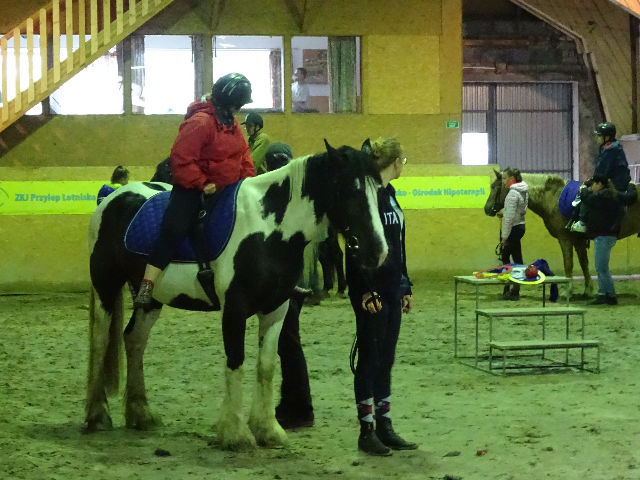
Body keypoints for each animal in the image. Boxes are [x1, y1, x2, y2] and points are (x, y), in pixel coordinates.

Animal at [85, 140, 388, 451]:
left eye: (379, 189)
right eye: (350, 189)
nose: (378, 251)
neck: (268, 230)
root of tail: (111, 199)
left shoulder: (276, 309)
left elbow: (266, 366)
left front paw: (268, 429)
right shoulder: (234, 309)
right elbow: (236, 361)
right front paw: (235, 433)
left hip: (151, 299)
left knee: (134, 340)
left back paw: (141, 413)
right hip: (106, 286)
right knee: (100, 341)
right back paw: (97, 416)